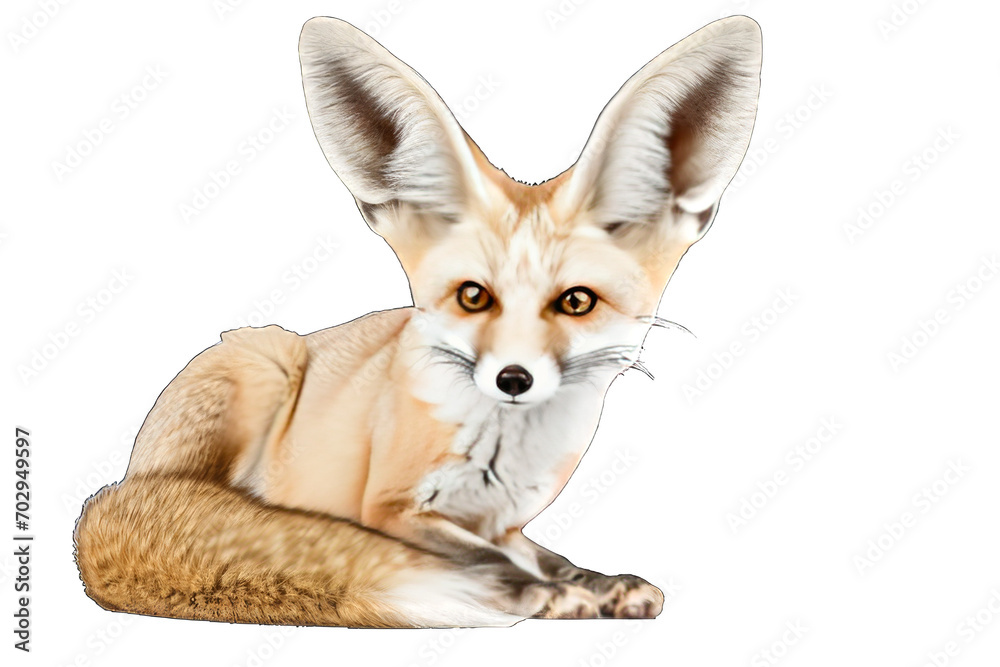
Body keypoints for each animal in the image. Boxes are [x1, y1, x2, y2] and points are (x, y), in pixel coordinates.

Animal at [74, 15, 762, 628]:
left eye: (576, 302)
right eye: (473, 297)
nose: (513, 379)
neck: (503, 457)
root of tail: (129, 479)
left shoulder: (507, 523)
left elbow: (552, 559)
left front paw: (596, 583)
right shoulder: (392, 509)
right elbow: (491, 563)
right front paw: (543, 597)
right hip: (265, 361)